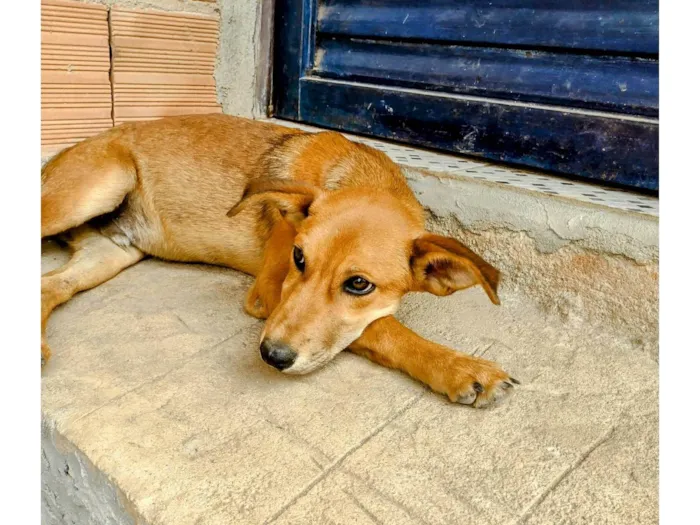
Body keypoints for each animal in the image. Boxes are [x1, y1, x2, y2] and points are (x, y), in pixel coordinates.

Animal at [41, 114, 516, 408]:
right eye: (298, 258)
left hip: (112, 251)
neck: (355, 174)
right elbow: (381, 330)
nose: (272, 356)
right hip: (97, 186)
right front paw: (459, 367)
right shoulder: (269, 291)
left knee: (49, 285)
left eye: (359, 284)